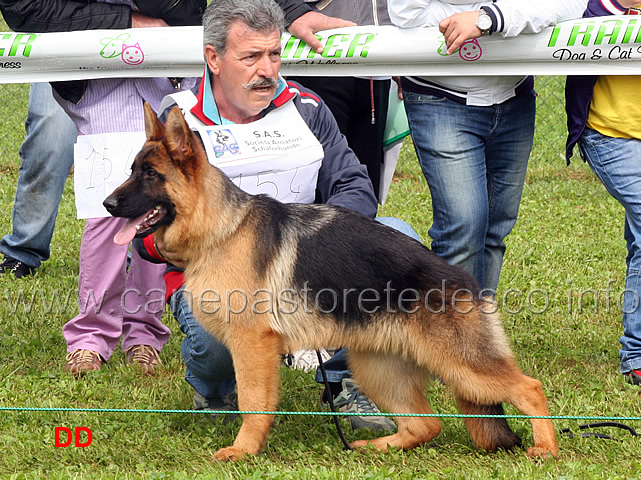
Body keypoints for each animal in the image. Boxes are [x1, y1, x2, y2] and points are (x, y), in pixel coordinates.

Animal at [104, 102, 556, 462]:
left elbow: (253, 403)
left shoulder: (252, 345)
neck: (222, 228)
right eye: (131, 171)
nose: (107, 204)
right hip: (377, 367)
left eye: (150, 175)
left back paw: (547, 448)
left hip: (460, 365)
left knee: (529, 388)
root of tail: (466, 282)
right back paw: (379, 447)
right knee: (425, 425)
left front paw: (243, 450)